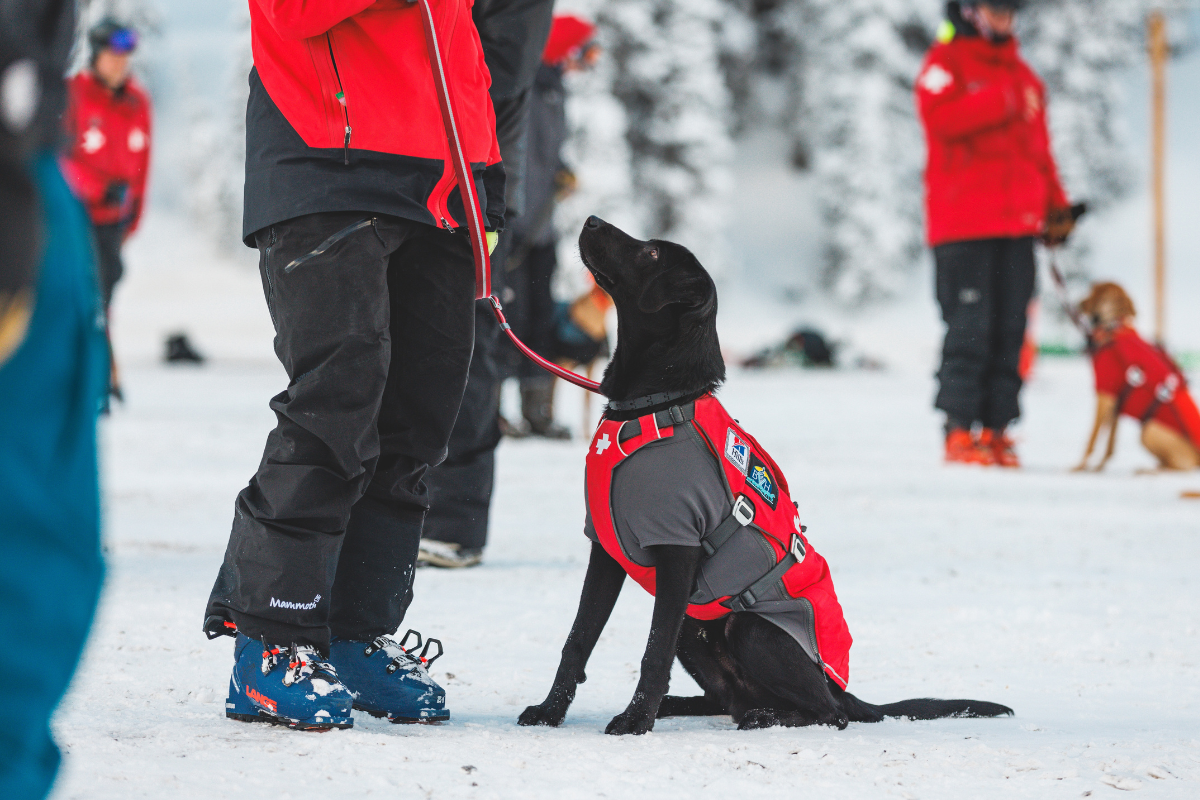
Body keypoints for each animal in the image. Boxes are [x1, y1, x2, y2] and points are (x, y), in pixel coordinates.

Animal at [516, 215, 1012, 734]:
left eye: (651, 253)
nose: (591, 219)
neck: (653, 405)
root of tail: (842, 687)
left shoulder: (677, 548)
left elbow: (653, 651)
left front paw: (634, 723)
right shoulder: (606, 546)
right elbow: (579, 638)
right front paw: (550, 711)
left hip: (747, 625)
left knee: (829, 714)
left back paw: (764, 716)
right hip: (696, 623)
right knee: (726, 697)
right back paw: (696, 707)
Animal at [1075, 281, 1195, 470]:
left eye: (1093, 292)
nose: (1079, 304)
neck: (1115, 328)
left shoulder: (1104, 395)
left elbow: (1092, 438)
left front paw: (1079, 467)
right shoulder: (1115, 403)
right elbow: (1110, 444)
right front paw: (1098, 468)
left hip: (1148, 431)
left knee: (1179, 467)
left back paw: (1148, 470)